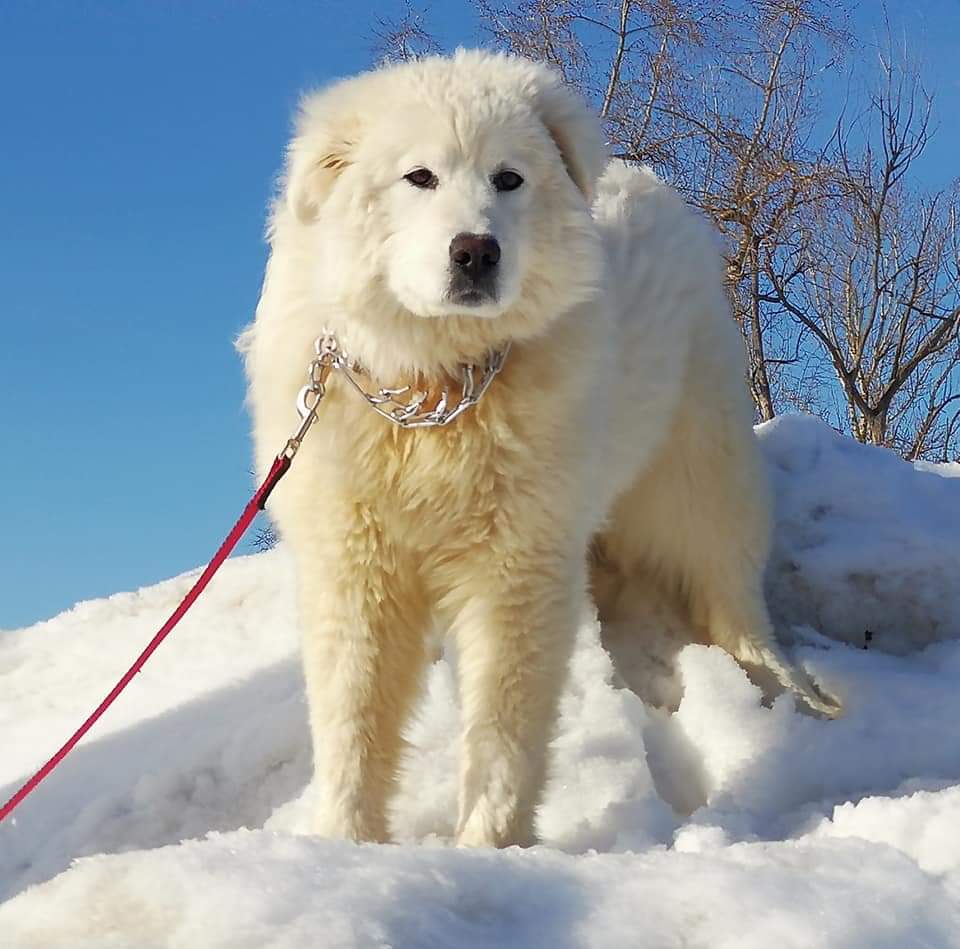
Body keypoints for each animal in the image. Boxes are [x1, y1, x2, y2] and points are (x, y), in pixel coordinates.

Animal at [242, 48, 840, 848]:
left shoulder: (517, 568)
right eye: (419, 177)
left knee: (731, 588)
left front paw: (487, 849)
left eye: (509, 178)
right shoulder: (356, 568)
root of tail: (646, 181)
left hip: (697, 476)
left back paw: (784, 684)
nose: (475, 252)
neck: (437, 391)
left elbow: (503, 732)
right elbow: (354, 723)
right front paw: (346, 848)